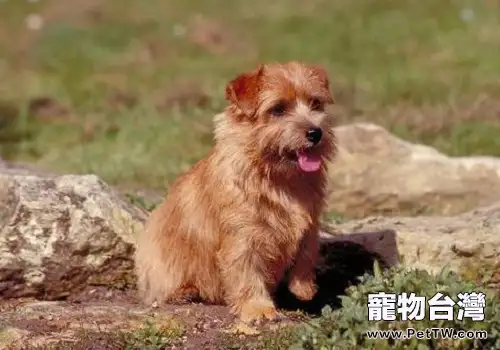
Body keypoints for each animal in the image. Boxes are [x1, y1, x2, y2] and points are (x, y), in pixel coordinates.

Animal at [135, 60, 336, 322]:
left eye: (315, 103)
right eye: (278, 109)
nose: (315, 132)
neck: (278, 179)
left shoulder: (309, 225)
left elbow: (306, 254)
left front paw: (304, 289)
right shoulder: (243, 236)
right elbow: (246, 272)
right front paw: (258, 307)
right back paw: (185, 291)